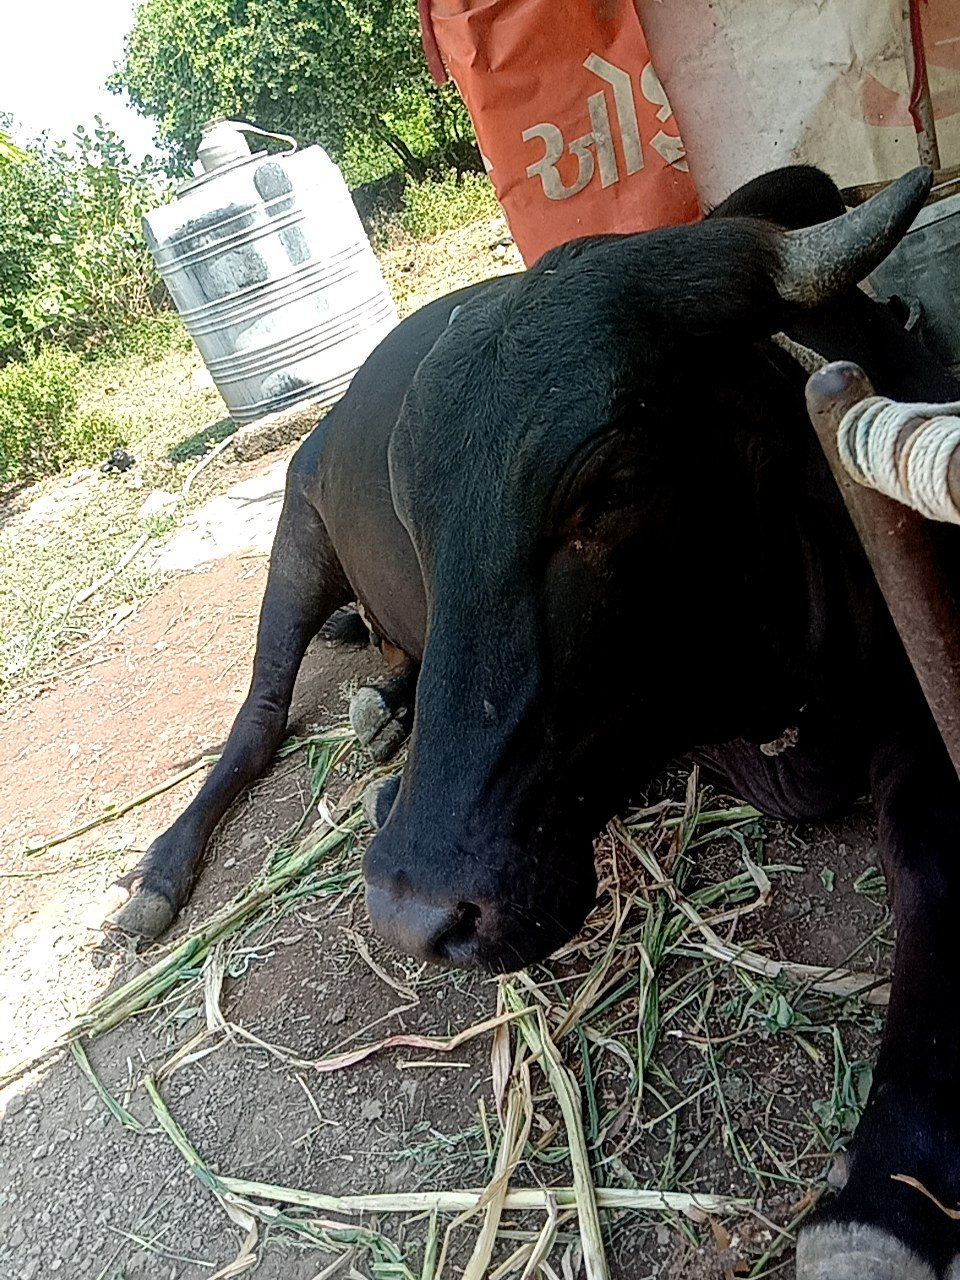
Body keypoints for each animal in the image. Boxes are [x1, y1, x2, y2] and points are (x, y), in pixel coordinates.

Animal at [106, 164, 960, 1277]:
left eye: (610, 486)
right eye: (412, 512)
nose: (414, 909)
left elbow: (930, 859)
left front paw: (886, 1192)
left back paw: (384, 712)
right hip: (294, 536)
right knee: (256, 717)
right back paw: (169, 870)